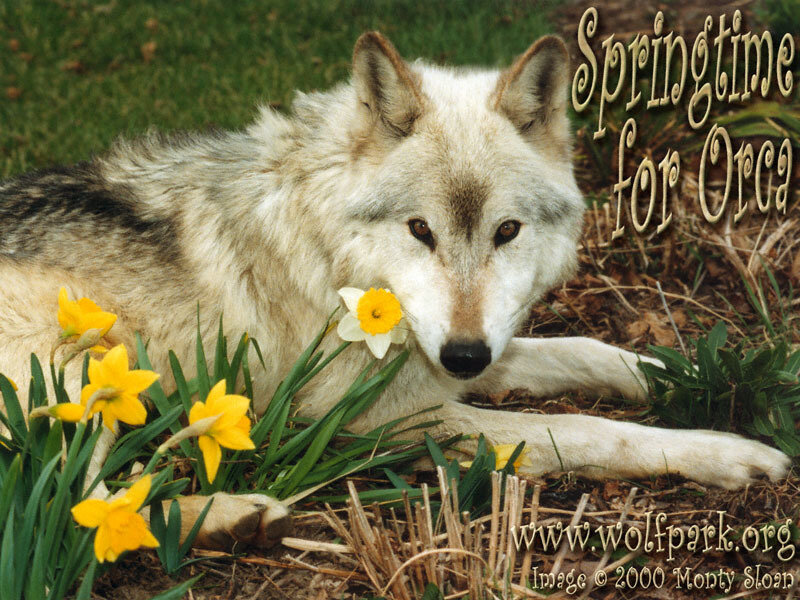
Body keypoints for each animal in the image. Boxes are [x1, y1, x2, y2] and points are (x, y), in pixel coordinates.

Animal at [0, 32, 791, 549]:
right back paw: (237, 519)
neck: (329, 245)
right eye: (420, 229)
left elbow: (588, 350)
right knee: (79, 506)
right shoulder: (383, 417)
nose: (466, 357)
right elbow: (583, 428)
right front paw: (725, 452)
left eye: (506, 231)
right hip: (82, 373)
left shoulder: (455, 355)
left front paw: (695, 379)